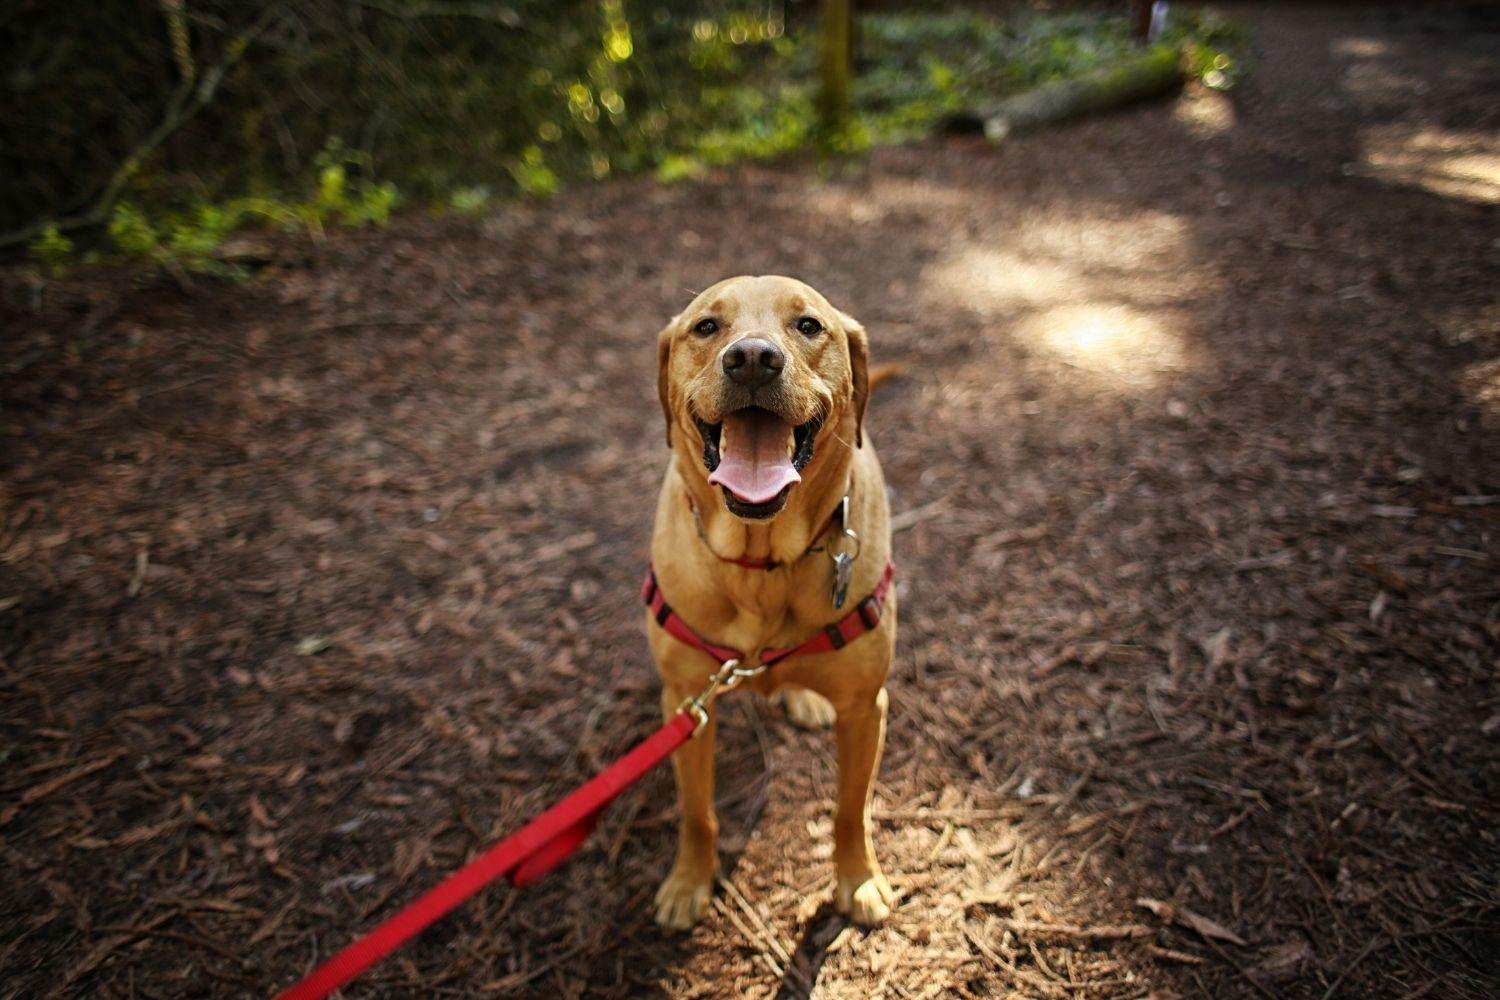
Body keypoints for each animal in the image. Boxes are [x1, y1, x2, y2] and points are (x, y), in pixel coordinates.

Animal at [648, 275, 900, 929]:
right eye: (707, 327)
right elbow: (697, 813)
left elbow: (850, 810)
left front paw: (859, 880)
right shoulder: (686, 705)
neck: (762, 564)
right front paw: (688, 882)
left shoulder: (866, 708)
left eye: (809, 325)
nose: (753, 359)